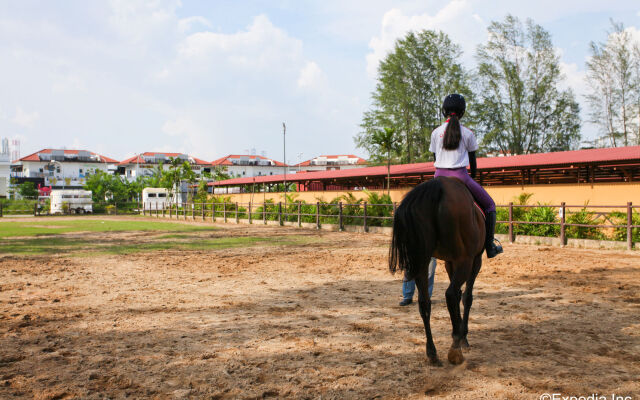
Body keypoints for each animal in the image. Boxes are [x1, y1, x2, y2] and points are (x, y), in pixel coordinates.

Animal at [390, 177, 484, 364]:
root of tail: (439, 186)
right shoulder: (475, 260)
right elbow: (466, 297)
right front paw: (463, 336)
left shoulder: (449, 261)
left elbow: (458, 295)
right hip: (466, 260)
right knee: (450, 294)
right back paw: (455, 347)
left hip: (422, 261)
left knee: (425, 302)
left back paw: (432, 352)